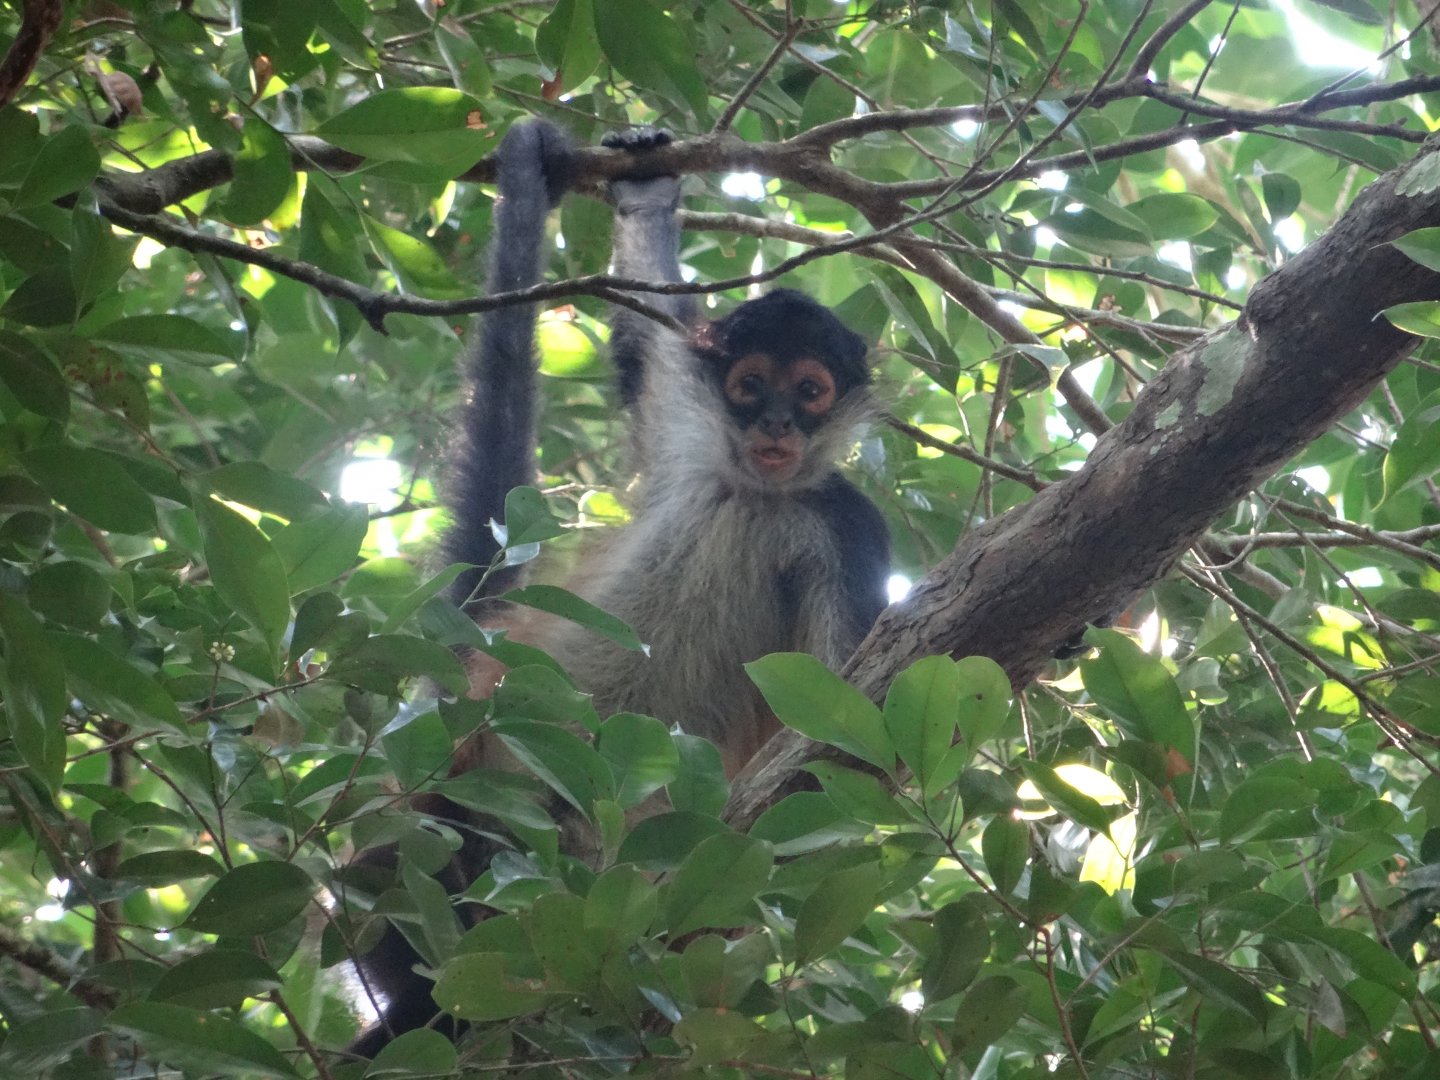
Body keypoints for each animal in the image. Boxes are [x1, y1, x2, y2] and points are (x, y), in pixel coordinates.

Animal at [344, 120, 890, 1055]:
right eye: (752, 384)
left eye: (812, 392)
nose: (779, 422)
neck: (751, 488)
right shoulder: (692, 428)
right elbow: (646, 342)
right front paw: (646, 191)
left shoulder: (846, 528)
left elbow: (844, 734)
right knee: (399, 848)